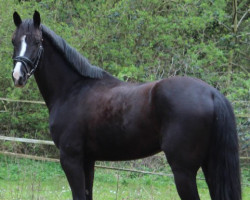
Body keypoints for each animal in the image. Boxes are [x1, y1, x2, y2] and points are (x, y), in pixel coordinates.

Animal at [10, 11, 241, 200]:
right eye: (14, 41)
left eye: (37, 41)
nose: (18, 76)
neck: (73, 89)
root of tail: (211, 93)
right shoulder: (88, 160)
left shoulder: (71, 158)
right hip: (210, 166)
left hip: (183, 170)